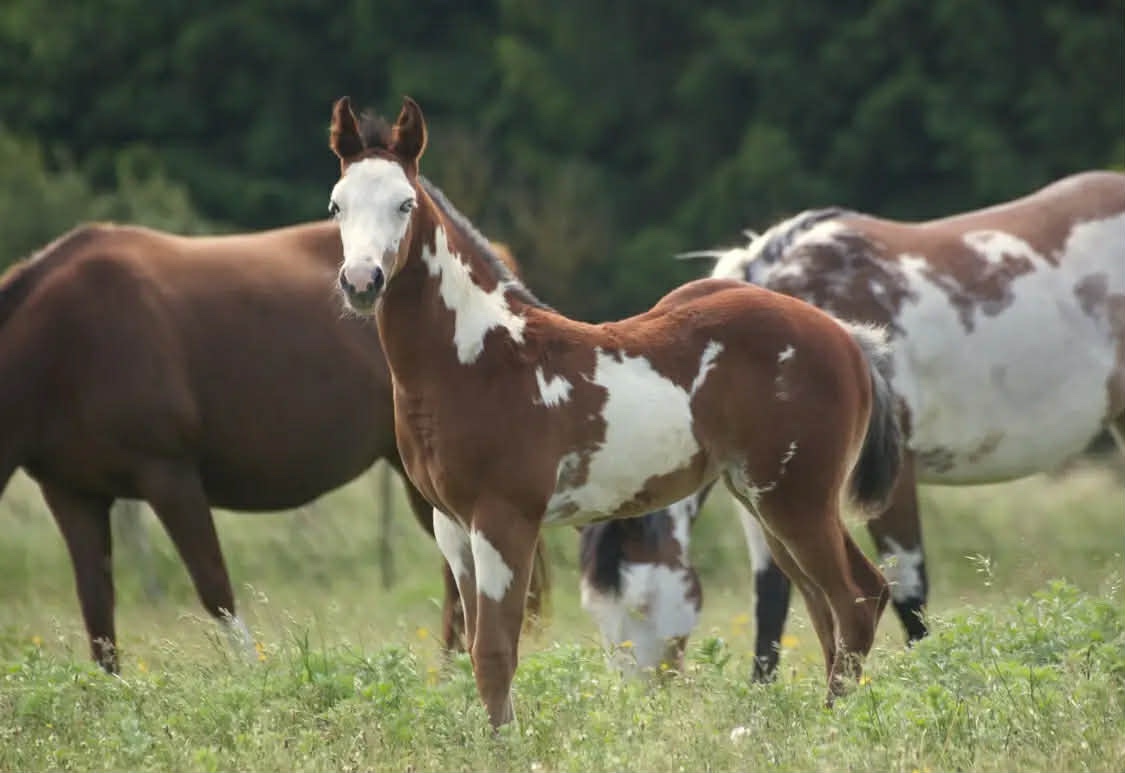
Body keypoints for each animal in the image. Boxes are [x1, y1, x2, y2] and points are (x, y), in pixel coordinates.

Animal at [0, 215, 549, 673]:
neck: (66, 339)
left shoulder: (170, 478)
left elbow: (215, 591)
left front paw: (252, 680)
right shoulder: (71, 495)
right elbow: (97, 610)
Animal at [326, 95, 903, 726]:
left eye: (404, 203)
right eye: (336, 205)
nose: (362, 281)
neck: (479, 359)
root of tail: (847, 338)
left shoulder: (504, 518)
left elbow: (496, 652)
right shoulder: (452, 526)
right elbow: (474, 648)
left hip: (797, 500)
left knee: (854, 600)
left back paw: (833, 727)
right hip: (765, 500)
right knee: (829, 607)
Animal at [580, 170, 1125, 680]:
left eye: (640, 605)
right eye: (594, 611)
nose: (642, 694)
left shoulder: (892, 477)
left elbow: (907, 590)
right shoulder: (764, 488)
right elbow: (772, 596)